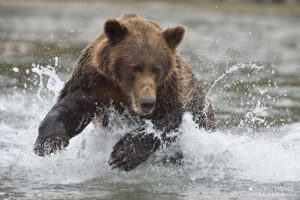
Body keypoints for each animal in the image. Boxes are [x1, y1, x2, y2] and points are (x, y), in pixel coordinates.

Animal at [34, 13, 216, 171]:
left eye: (157, 69)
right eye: (135, 67)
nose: (147, 102)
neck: (123, 88)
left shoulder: (168, 90)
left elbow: (167, 119)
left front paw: (122, 154)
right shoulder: (94, 83)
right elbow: (72, 109)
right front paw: (48, 143)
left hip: (201, 114)